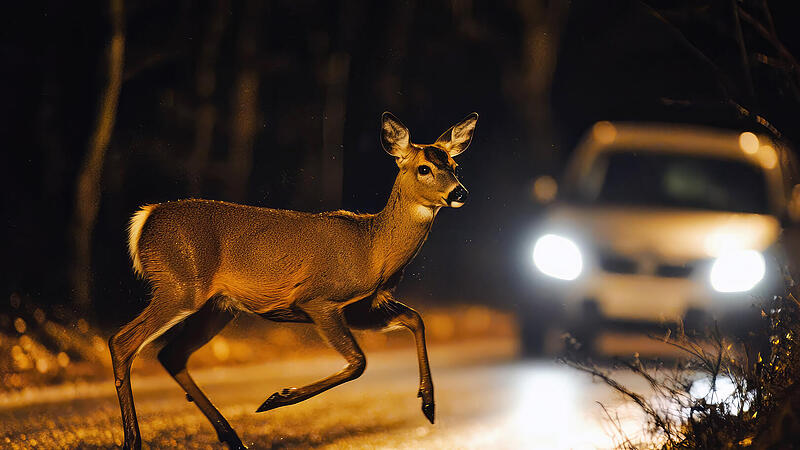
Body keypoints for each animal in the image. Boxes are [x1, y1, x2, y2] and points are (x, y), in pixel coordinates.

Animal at [109, 111, 478, 449]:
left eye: (454, 165)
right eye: (424, 168)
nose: (460, 193)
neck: (374, 250)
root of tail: (145, 220)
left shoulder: (361, 308)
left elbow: (415, 319)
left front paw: (428, 404)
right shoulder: (318, 300)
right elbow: (359, 361)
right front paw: (279, 397)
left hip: (217, 306)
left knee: (171, 355)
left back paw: (232, 437)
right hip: (180, 284)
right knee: (122, 342)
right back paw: (133, 440)